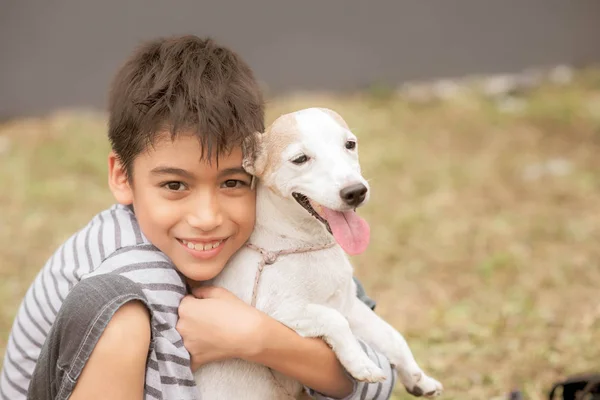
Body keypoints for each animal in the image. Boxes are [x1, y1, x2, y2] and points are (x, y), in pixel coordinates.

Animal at [195, 108, 442, 398]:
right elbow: (334, 320)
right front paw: (361, 364)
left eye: (350, 144)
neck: (301, 243)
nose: (355, 192)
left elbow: (392, 337)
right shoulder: (278, 312)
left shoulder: (349, 305)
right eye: (300, 159)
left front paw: (419, 378)